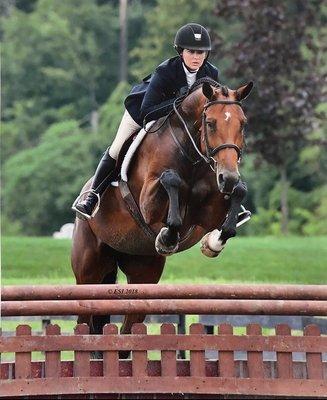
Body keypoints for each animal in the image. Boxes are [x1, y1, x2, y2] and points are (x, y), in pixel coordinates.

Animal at [72, 78, 254, 344]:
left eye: (243, 124)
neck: (191, 152)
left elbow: (237, 197)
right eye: (210, 123)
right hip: (88, 271)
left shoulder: (208, 213)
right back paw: (87, 203)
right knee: (83, 319)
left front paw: (213, 243)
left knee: (129, 328)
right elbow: (171, 180)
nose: (228, 177)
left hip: (143, 272)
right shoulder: (148, 203)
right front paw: (167, 237)